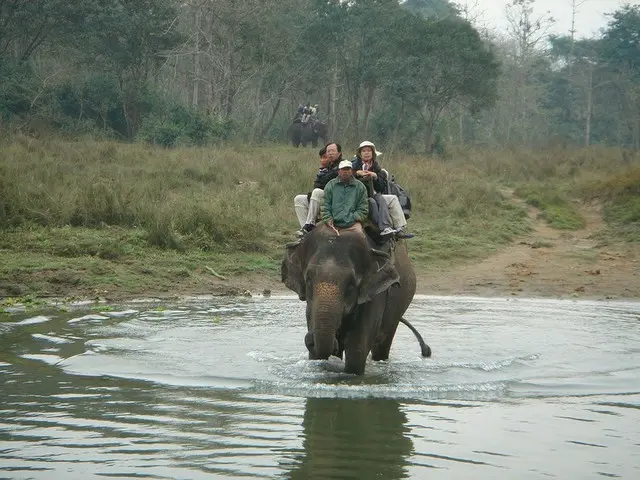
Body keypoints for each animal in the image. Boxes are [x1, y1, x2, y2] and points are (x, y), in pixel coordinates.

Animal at [280, 223, 430, 376]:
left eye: (351, 285)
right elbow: (317, 357)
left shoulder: (375, 295)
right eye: (309, 280)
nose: (310, 337)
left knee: (383, 343)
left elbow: (356, 352)